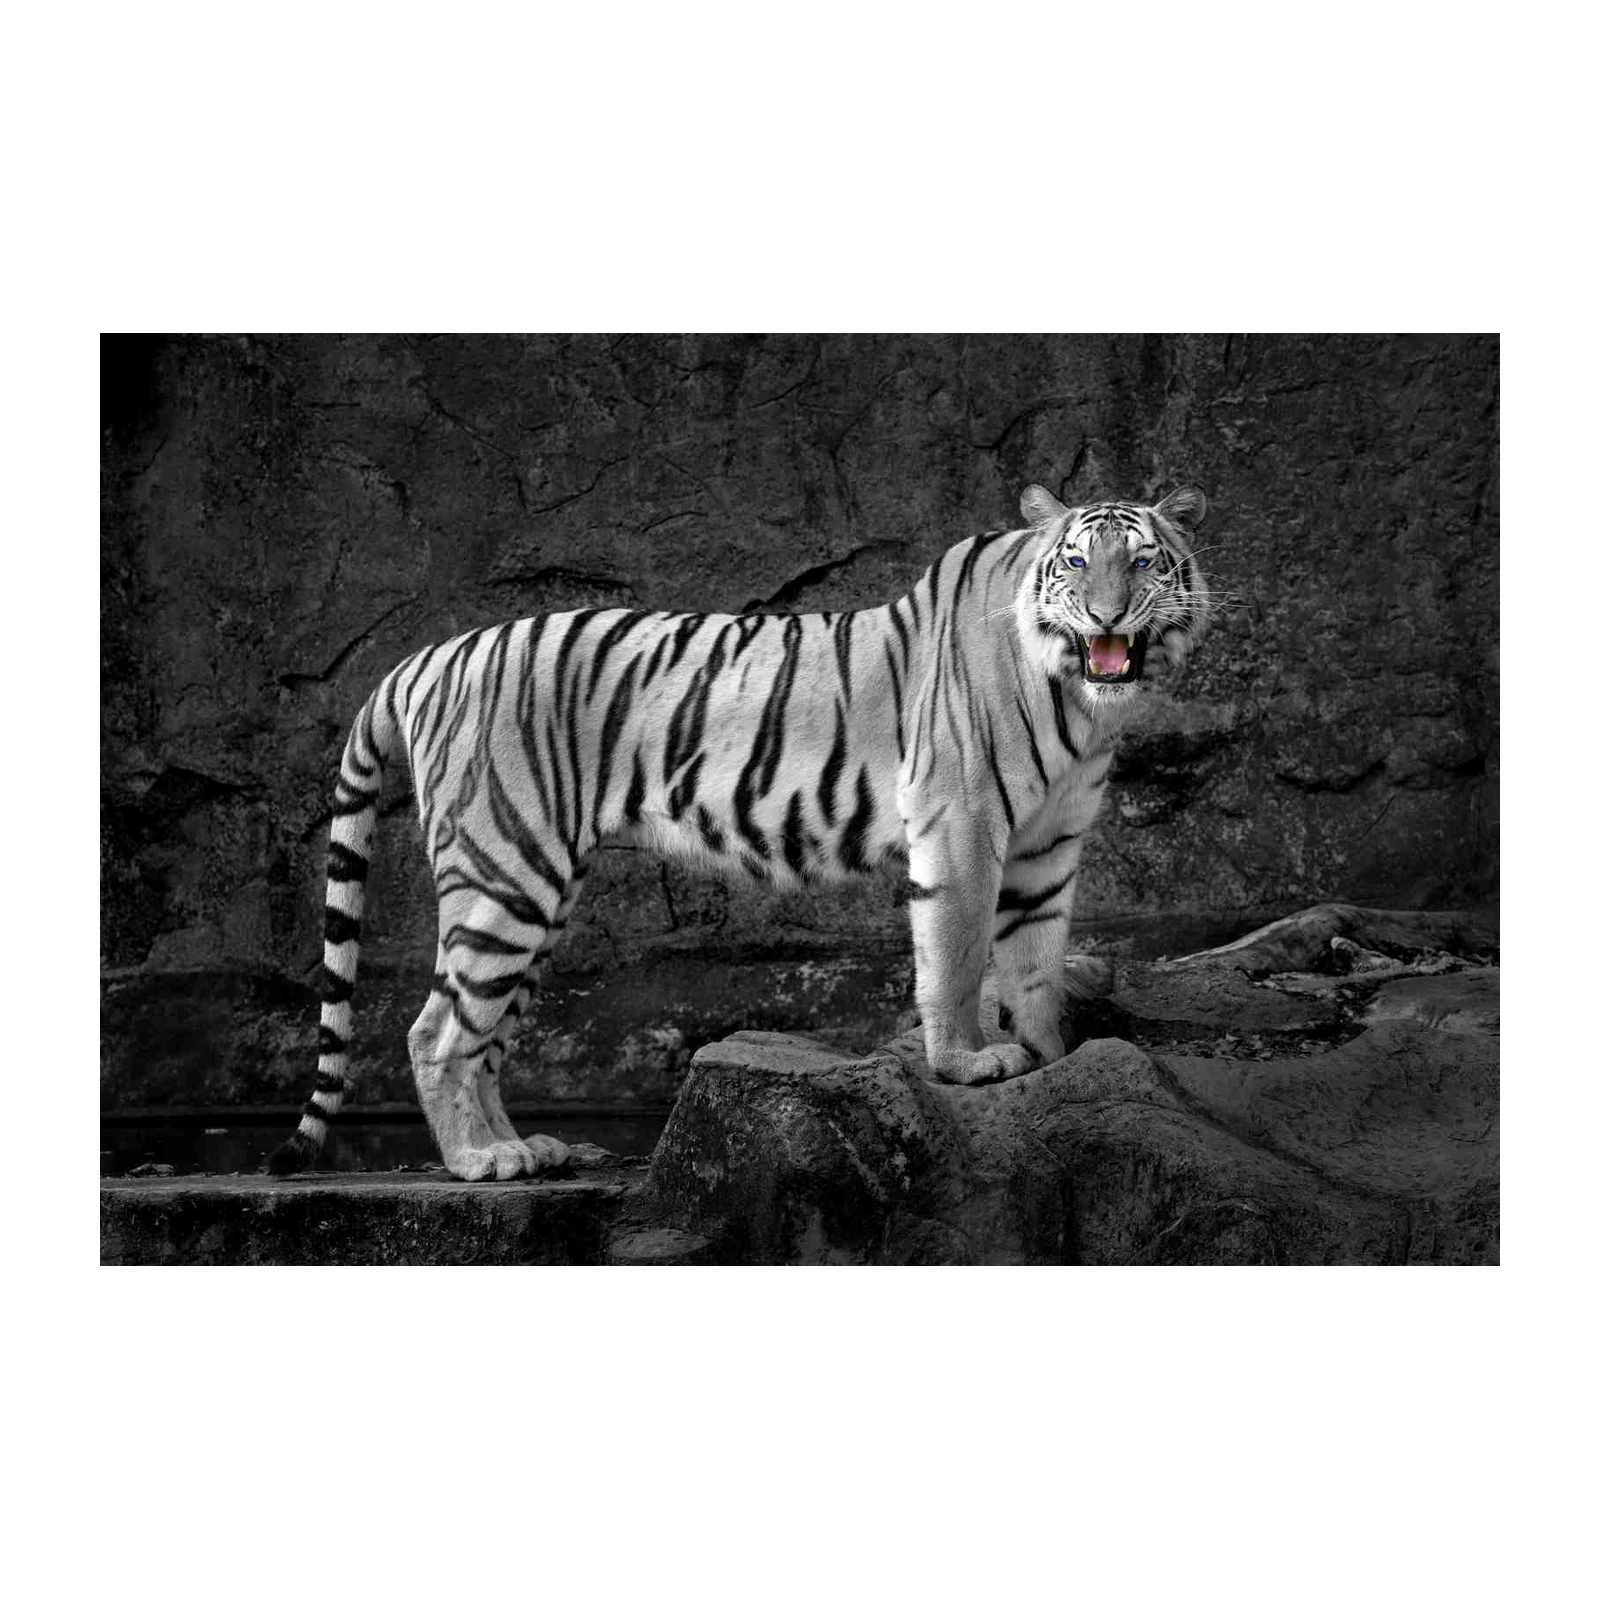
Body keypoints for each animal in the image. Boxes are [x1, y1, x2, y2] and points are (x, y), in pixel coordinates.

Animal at [266, 482, 1211, 1181]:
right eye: (1077, 563)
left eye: (1142, 561)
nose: (1107, 615)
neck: (1080, 698)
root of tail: (424, 658)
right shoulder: (962, 820)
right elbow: (958, 952)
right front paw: (968, 1066)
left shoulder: (1049, 843)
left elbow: (1037, 959)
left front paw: (1053, 1058)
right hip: (505, 871)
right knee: (436, 1032)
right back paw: (479, 1162)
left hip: (538, 892)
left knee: (484, 1036)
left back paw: (524, 1149)